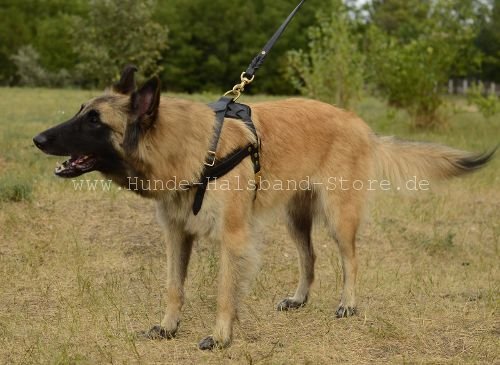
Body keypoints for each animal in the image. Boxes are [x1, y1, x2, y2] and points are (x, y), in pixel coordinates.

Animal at [32, 66, 496, 350]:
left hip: (337, 216)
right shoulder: (176, 236)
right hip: (296, 219)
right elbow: (174, 286)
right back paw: (299, 298)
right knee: (310, 258)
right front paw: (168, 326)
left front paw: (221, 337)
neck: (191, 150)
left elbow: (224, 290)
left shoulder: (234, 239)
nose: (37, 139)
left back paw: (348, 304)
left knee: (350, 259)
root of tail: (362, 126)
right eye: (81, 112)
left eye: (94, 121)